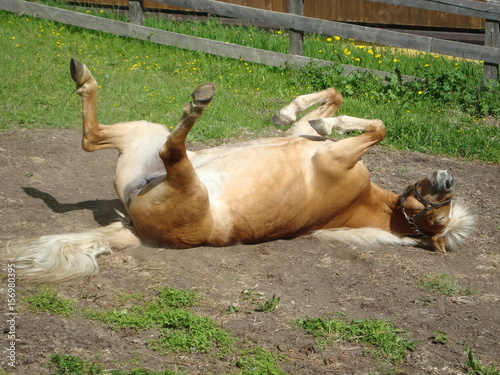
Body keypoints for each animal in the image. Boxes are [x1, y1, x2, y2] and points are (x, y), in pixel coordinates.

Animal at [0, 58, 474, 282]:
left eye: (439, 217)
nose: (447, 180)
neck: (361, 199)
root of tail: (133, 224)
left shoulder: (335, 160)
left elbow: (377, 128)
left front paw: (330, 123)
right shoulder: (317, 145)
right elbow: (336, 102)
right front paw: (300, 114)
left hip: (181, 177)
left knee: (169, 148)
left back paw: (198, 102)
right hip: (142, 136)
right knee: (92, 136)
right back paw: (83, 75)